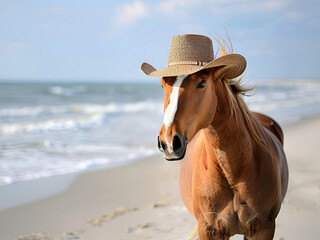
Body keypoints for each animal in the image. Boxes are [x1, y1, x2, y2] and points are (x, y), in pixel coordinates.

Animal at [156, 46, 288, 239]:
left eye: (202, 83)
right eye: (162, 85)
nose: (168, 142)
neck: (232, 172)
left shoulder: (263, 229)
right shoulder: (209, 230)